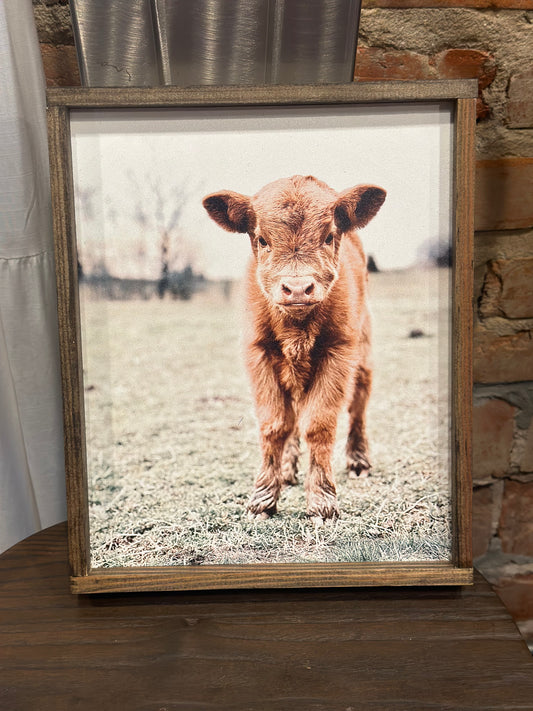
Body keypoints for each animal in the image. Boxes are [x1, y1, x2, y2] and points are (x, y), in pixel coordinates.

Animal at [203, 175, 386, 522]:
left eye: (328, 236)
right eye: (262, 239)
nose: (298, 288)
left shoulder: (338, 352)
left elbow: (318, 424)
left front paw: (322, 502)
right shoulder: (258, 352)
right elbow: (275, 424)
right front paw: (262, 499)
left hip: (364, 357)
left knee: (357, 407)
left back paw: (358, 461)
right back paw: (287, 470)